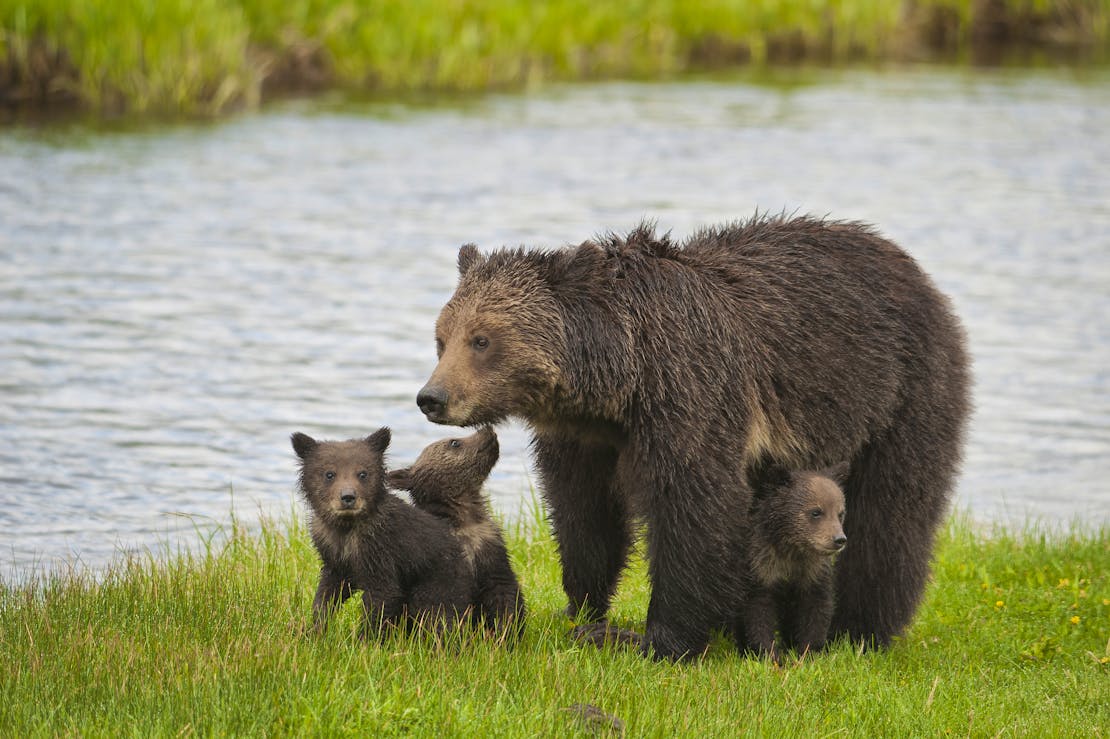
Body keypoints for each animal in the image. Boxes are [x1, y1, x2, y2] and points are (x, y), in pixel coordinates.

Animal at [290, 428, 468, 634]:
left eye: (363, 473)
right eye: (329, 473)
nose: (348, 497)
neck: (347, 527)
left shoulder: (381, 551)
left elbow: (382, 597)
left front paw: (364, 637)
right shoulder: (333, 554)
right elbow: (327, 593)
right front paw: (315, 629)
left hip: (439, 581)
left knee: (436, 614)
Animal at [388, 426, 526, 639]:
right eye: (454, 442)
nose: (487, 428)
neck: (463, 517)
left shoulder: (489, 549)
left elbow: (504, 594)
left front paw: (505, 632)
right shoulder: (441, 564)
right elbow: (442, 607)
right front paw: (451, 638)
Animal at [737, 463, 848, 656]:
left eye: (840, 513)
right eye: (816, 512)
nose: (839, 539)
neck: (792, 549)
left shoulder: (813, 571)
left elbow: (816, 609)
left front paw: (809, 651)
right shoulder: (762, 566)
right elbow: (758, 611)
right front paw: (769, 652)